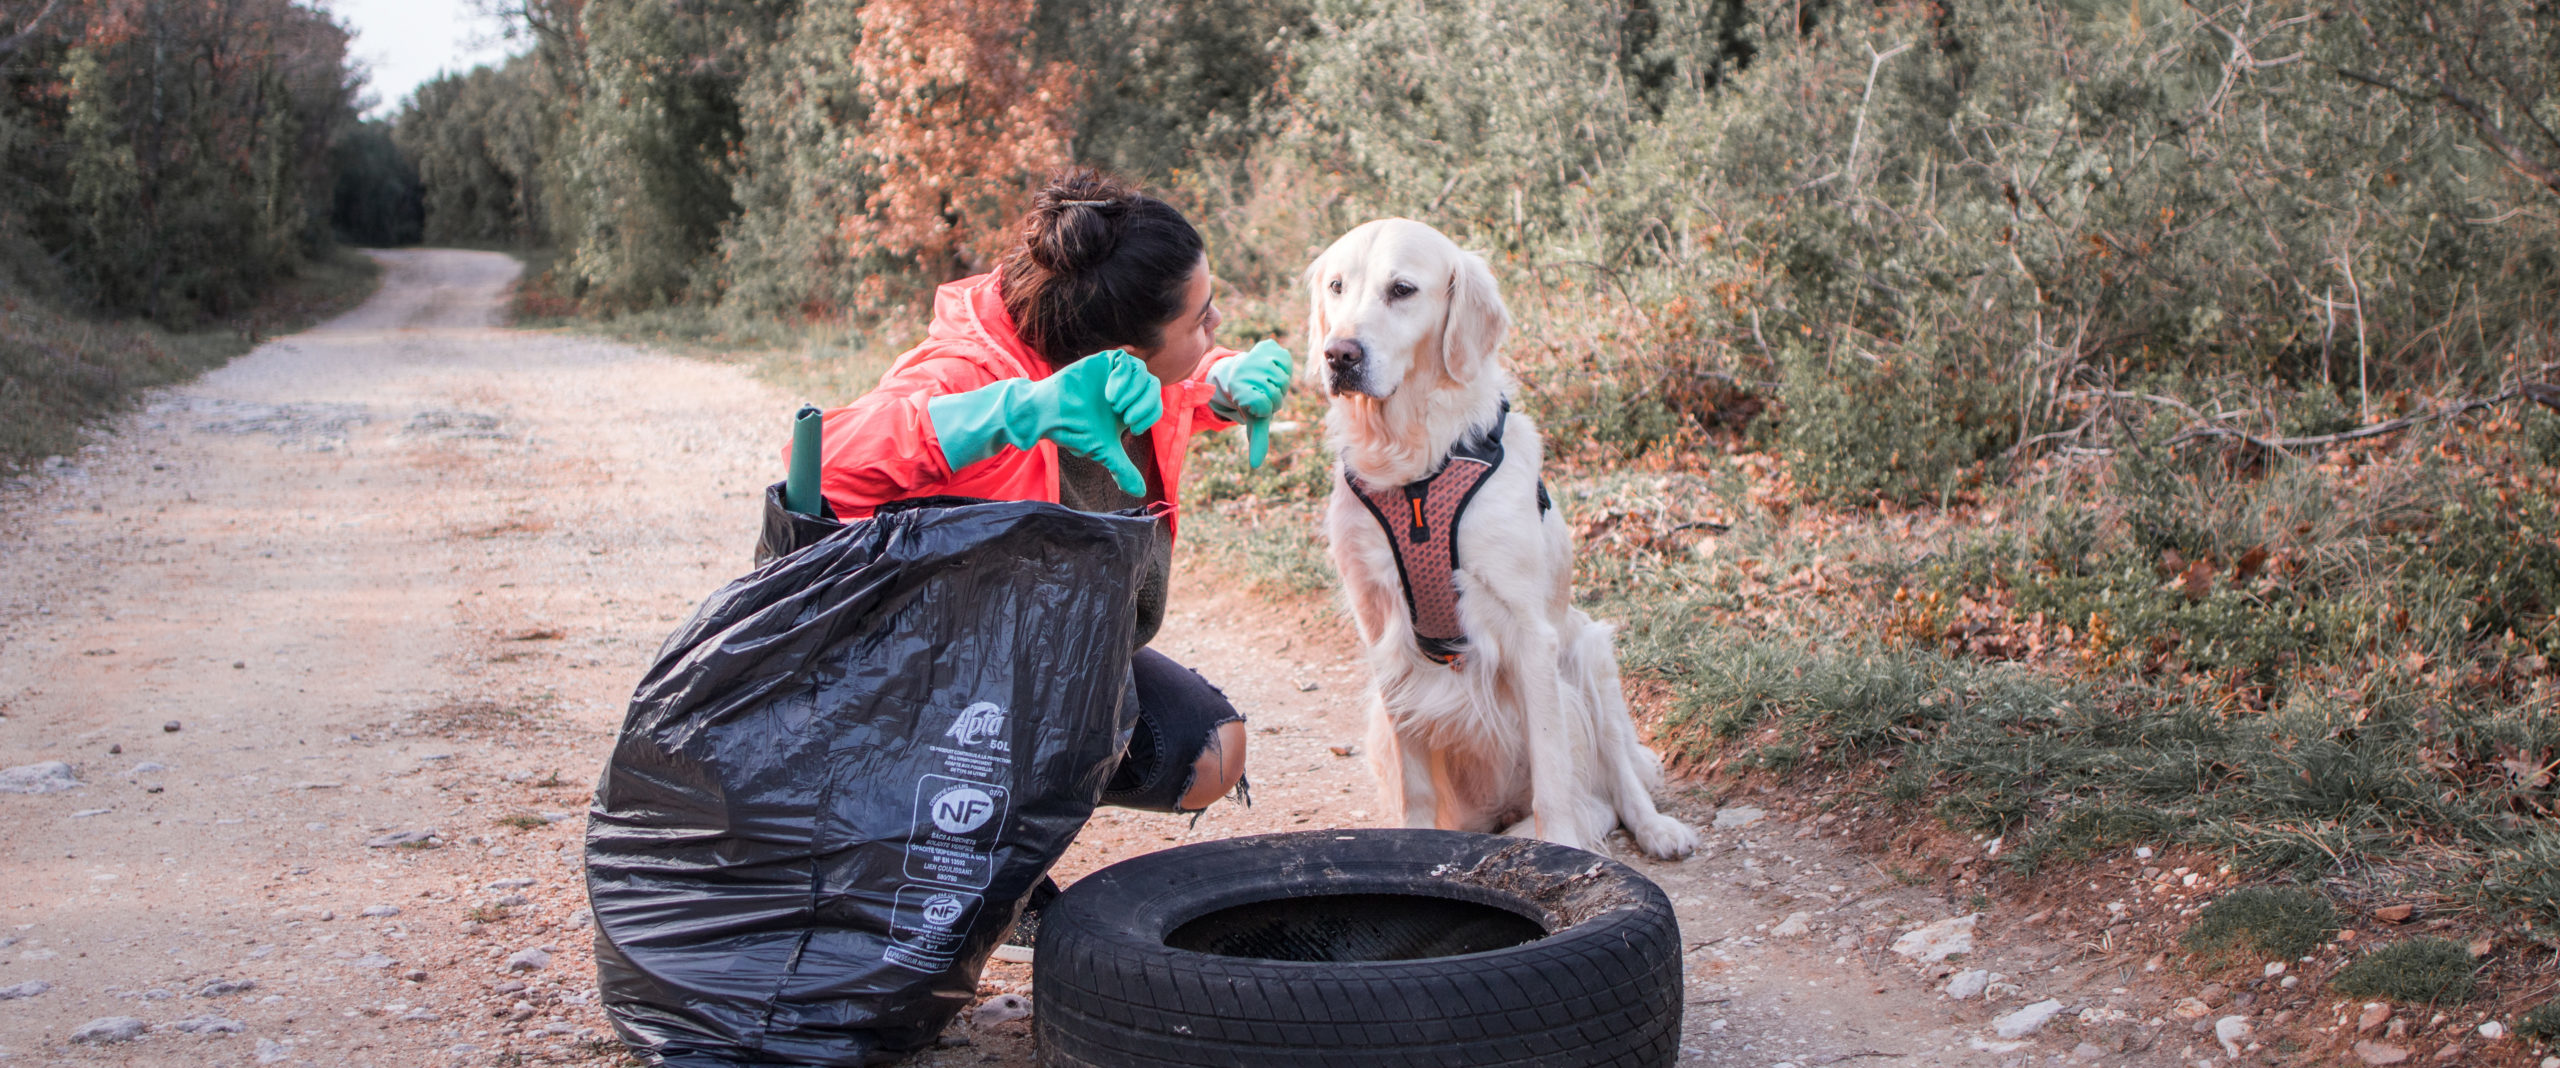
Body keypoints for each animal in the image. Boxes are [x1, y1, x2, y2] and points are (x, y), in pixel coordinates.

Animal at [1300, 218, 1699, 855]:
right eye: (1337, 286)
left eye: (1402, 290)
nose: (1338, 354)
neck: (1414, 467)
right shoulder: (1382, 632)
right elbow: (1415, 786)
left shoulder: (1529, 631)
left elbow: (1554, 779)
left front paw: (1561, 849)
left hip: (1587, 654)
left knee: (1617, 781)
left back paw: (1657, 830)